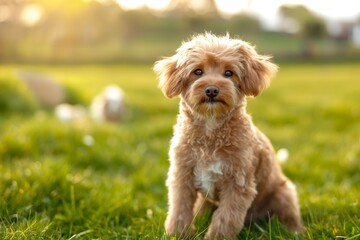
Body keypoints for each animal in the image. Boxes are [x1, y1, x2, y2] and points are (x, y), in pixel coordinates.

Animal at [153, 32, 302, 239]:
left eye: (229, 73)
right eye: (197, 72)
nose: (211, 90)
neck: (210, 132)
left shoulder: (238, 183)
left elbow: (226, 218)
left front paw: (216, 237)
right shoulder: (182, 175)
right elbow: (179, 210)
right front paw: (178, 233)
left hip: (284, 192)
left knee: (290, 216)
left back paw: (294, 231)